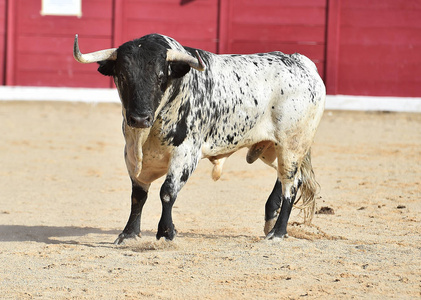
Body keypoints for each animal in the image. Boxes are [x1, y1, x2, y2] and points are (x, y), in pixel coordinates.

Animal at [73, 32, 324, 244]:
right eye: (123, 76)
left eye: (161, 76)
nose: (140, 118)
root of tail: (302, 63)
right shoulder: (133, 156)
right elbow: (138, 196)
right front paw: (128, 234)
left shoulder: (185, 154)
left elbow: (167, 192)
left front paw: (166, 233)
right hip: (271, 149)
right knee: (290, 178)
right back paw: (271, 222)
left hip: (292, 145)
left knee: (291, 184)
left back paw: (278, 232)